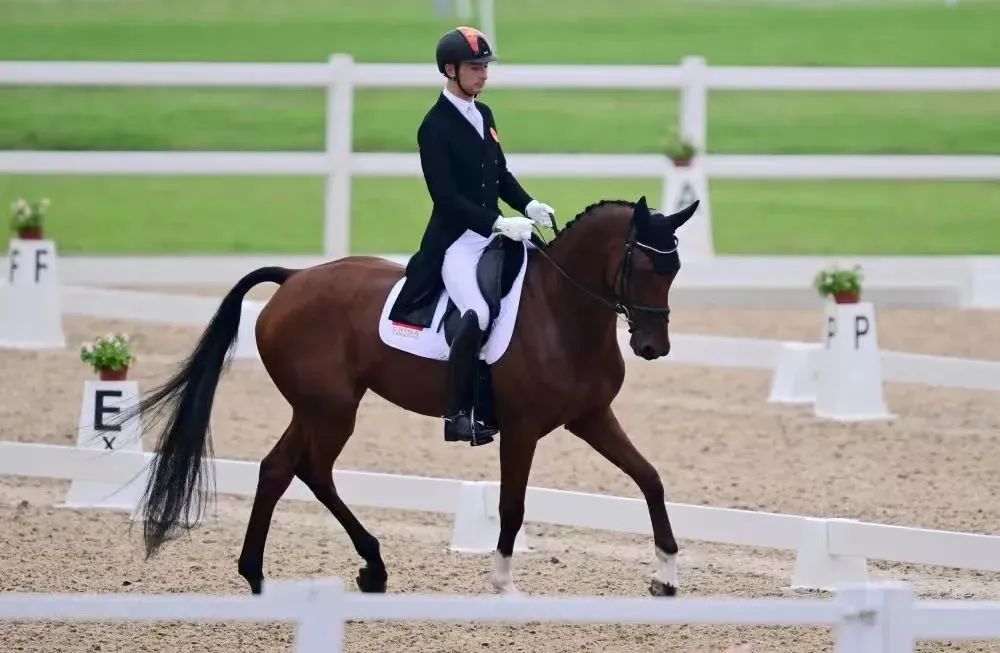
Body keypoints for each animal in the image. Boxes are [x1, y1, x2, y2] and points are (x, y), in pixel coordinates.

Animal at [129, 192, 700, 596]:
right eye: (643, 268)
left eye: (674, 270)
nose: (654, 347)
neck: (560, 311)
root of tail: (293, 278)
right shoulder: (521, 429)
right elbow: (512, 505)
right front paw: (503, 582)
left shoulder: (591, 416)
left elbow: (650, 479)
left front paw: (667, 574)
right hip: (332, 409)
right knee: (308, 469)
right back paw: (355, 567)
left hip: (316, 407)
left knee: (281, 469)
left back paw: (272, 574)